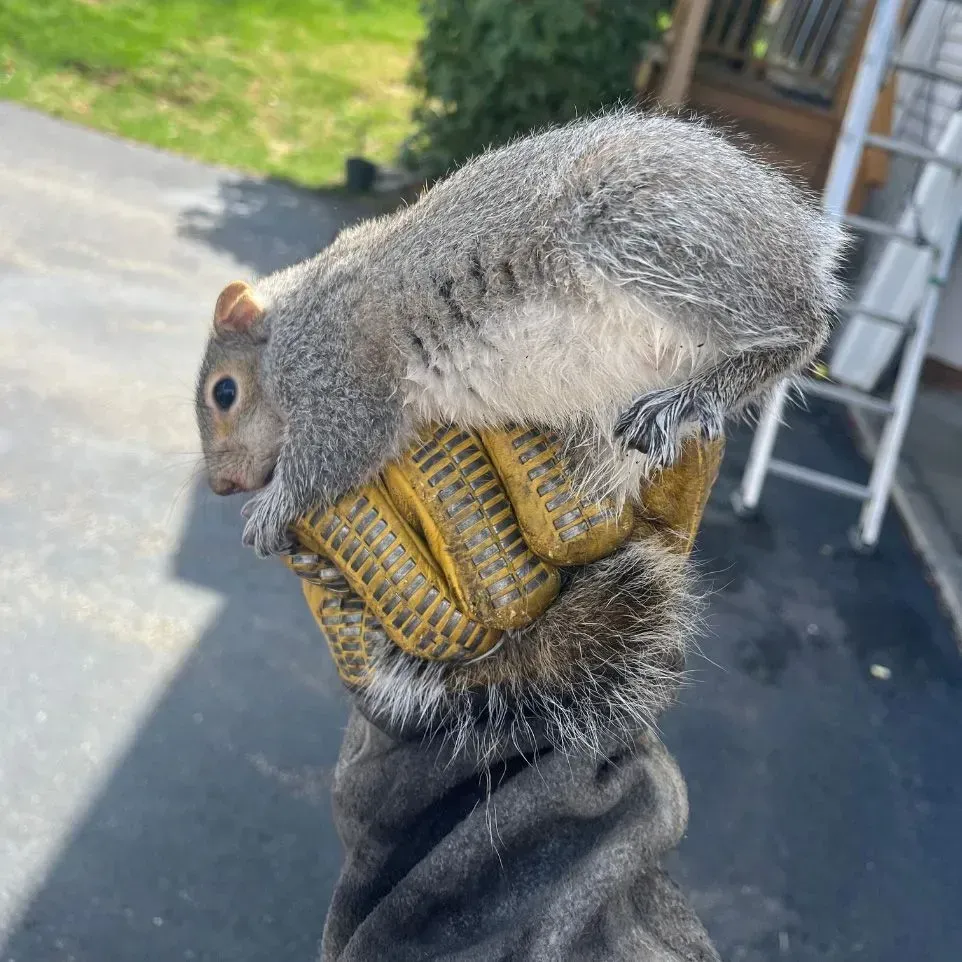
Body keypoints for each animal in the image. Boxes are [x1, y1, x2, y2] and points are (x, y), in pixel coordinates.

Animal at [195, 108, 847, 560]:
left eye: (224, 393)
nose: (222, 486)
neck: (292, 319)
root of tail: (800, 246)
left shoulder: (338, 373)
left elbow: (331, 454)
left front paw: (269, 510)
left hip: (650, 228)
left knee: (801, 330)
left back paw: (699, 394)